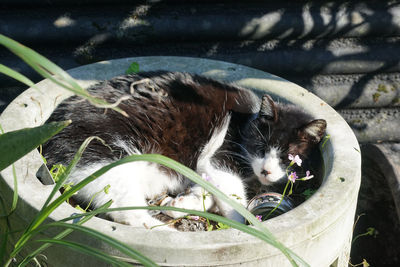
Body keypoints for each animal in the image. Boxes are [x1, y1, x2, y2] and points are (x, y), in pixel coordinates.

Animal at [43, 71, 324, 230]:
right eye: (262, 147)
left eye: (288, 157)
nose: (266, 170)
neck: (247, 119)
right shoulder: (219, 157)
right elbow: (233, 196)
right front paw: (241, 224)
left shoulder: (205, 170)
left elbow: (207, 190)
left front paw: (184, 201)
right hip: (105, 157)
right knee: (125, 212)